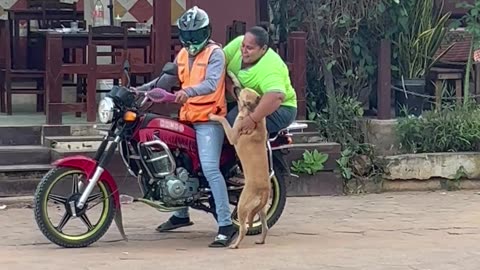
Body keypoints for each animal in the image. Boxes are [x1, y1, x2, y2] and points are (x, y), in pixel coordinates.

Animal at [209, 87, 272, 249]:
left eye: (243, 91)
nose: (236, 87)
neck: (252, 112)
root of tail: (264, 190)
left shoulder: (232, 134)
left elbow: (224, 120)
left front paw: (214, 116)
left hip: (242, 206)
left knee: (244, 229)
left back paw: (235, 245)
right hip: (261, 210)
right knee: (265, 226)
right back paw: (261, 240)